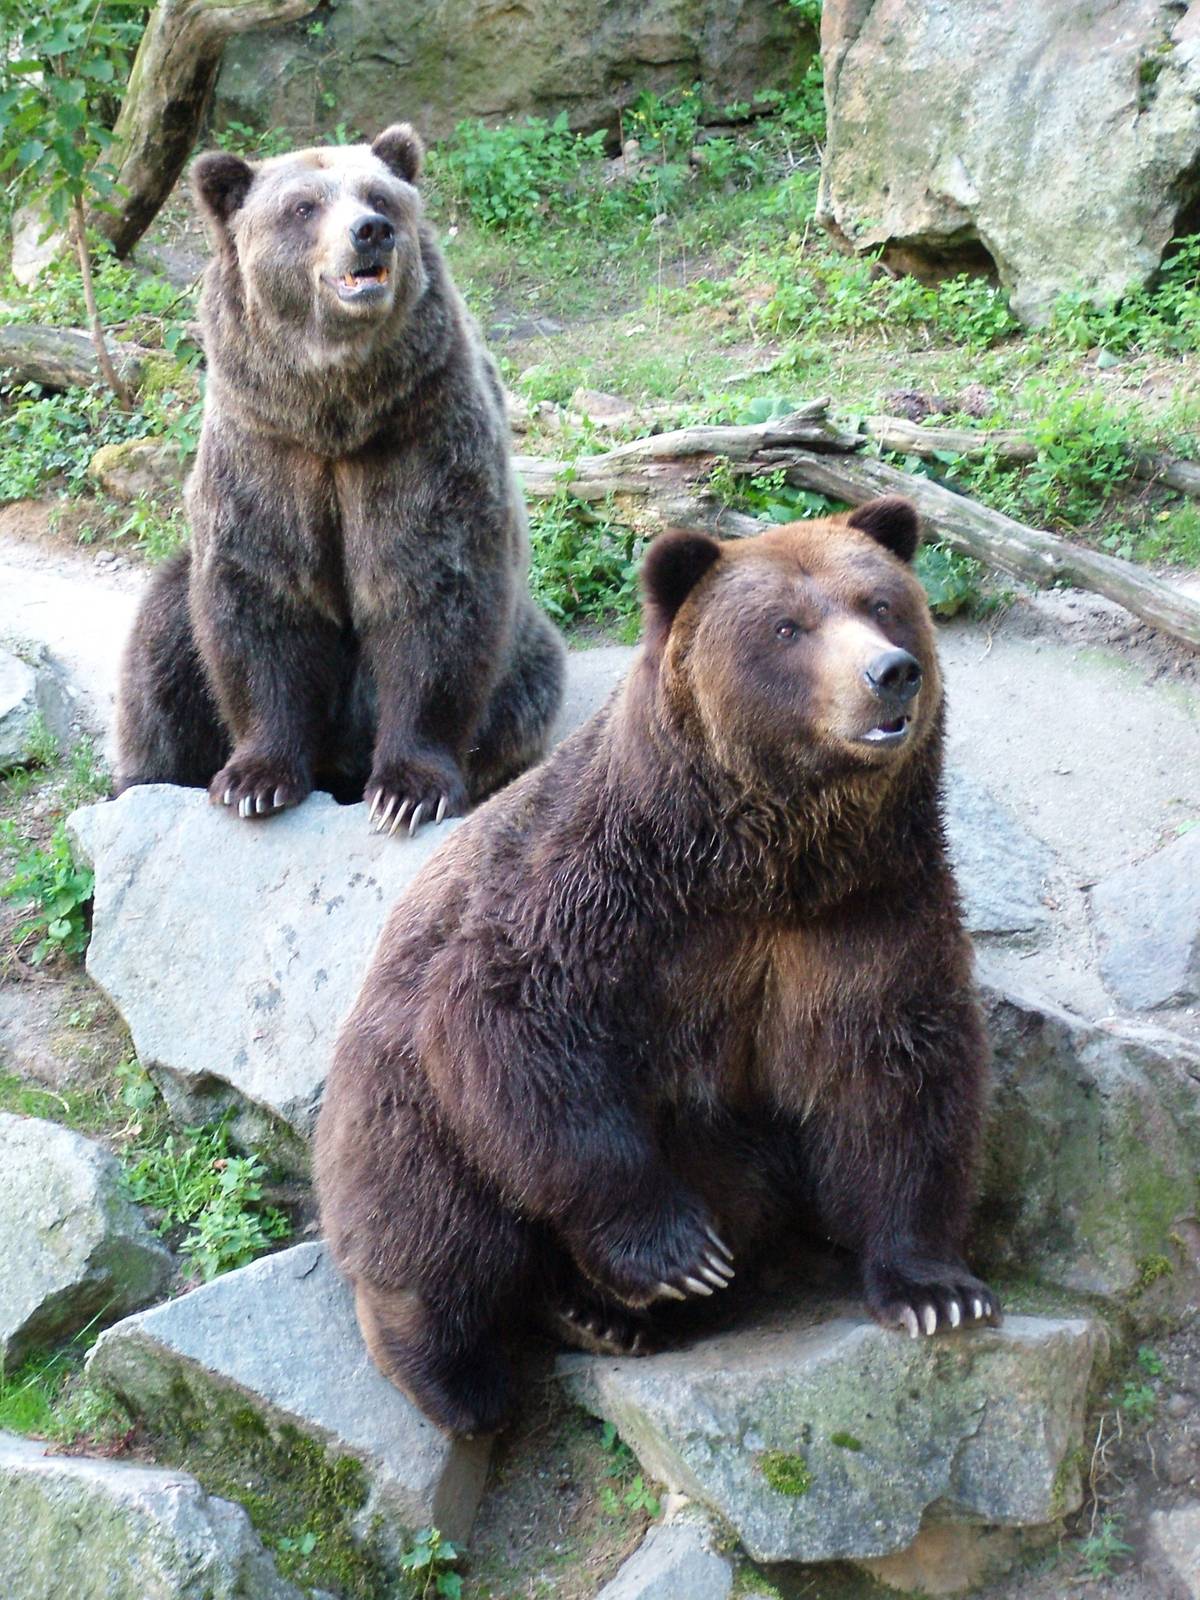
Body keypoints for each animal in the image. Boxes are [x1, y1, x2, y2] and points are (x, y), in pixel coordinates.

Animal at [115, 124, 564, 832]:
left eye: (380, 195)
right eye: (303, 207)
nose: (370, 231)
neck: (333, 410)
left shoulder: (420, 439)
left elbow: (432, 594)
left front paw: (408, 792)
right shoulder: (265, 450)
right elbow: (261, 599)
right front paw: (254, 781)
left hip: (525, 653)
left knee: (524, 693)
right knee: (162, 644)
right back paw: (143, 779)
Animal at [315, 497, 999, 1438]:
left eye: (883, 603)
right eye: (787, 626)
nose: (890, 674)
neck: (767, 863)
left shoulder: (868, 915)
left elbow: (900, 1075)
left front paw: (939, 1291)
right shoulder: (611, 891)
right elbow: (511, 1017)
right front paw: (679, 1254)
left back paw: (598, 1314)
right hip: (391, 1079)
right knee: (430, 1207)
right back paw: (457, 1374)